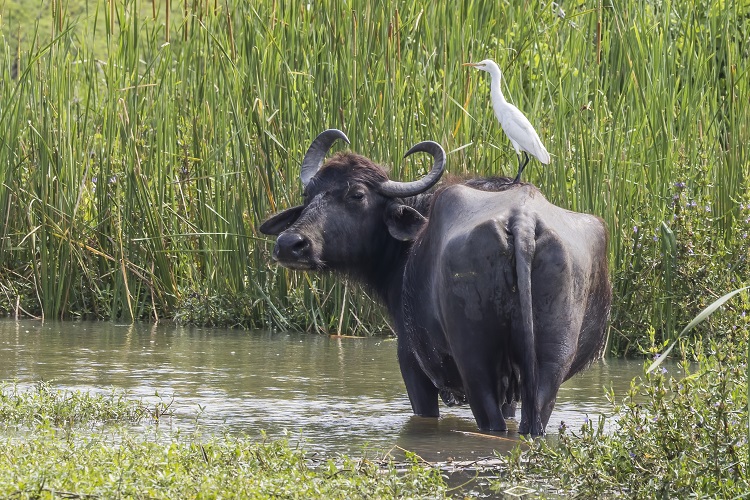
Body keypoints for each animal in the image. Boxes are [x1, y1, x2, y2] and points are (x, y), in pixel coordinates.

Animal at [258, 129, 612, 434]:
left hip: (475, 362)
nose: (290, 244)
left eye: (357, 195)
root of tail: (522, 221)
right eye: (309, 194)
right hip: (549, 363)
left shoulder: (410, 361)